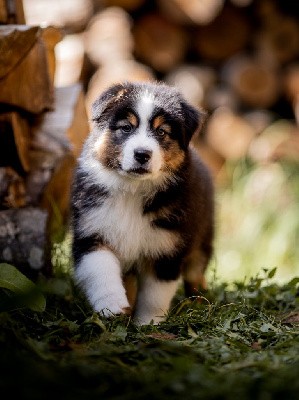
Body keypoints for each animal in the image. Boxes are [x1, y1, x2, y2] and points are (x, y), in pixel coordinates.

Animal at [71, 81, 214, 324]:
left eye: (161, 131)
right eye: (127, 128)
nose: (142, 154)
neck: (132, 190)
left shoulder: (167, 246)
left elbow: (155, 294)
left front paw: (148, 323)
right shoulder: (91, 230)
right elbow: (101, 270)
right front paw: (113, 306)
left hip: (202, 236)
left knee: (196, 271)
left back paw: (199, 300)